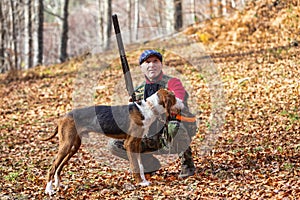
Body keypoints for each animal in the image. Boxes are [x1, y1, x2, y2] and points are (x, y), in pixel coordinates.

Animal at [39, 89, 185, 195]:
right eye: (173, 97)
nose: (183, 102)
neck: (148, 109)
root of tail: (63, 116)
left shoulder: (137, 144)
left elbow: (141, 166)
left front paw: (144, 180)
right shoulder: (129, 144)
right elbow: (135, 166)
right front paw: (140, 183)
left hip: (74, 146)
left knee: (59, 167)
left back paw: (58, 184)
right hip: (66, 145)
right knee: (52, 167)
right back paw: (49, 190)